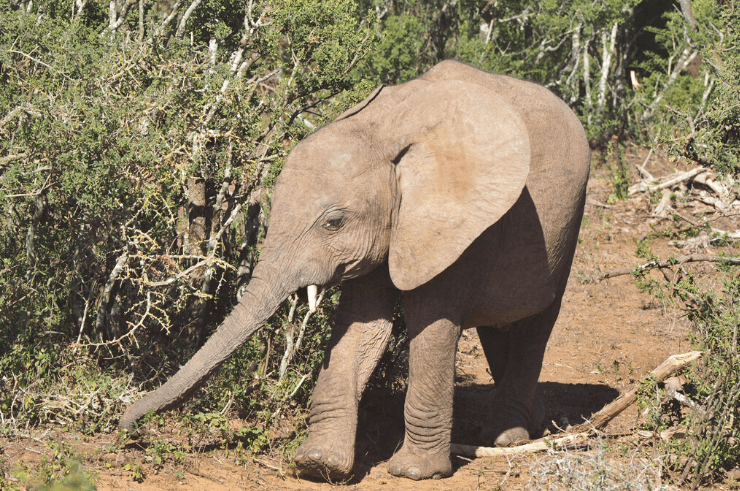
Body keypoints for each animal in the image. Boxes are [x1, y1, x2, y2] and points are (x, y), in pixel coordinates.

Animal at [123, 59, 596, 482]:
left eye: (333, 222)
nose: (124, 421)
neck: (384, 130)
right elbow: (362, 326)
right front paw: (317, 464)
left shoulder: (459, 227)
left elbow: (431, 324)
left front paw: (415, 472)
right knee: (499, 325)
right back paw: (530, 426)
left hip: (570, 221)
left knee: (535, 323)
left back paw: (507, 439)